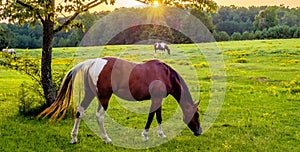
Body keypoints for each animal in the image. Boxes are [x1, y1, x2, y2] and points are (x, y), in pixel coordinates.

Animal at [37, 56, 202, 144]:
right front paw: (147, 135)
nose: (199, 131)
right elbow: (153, 116)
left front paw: (159, 134)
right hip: (104, 97)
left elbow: (157, 116)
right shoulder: (156, 99)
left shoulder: (157, 99)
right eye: (196, 115)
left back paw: (74, 137)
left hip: (90, 95)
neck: (164, 74)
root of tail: (93, 62)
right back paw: (107, 138)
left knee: (80, 112)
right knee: (99, 116)